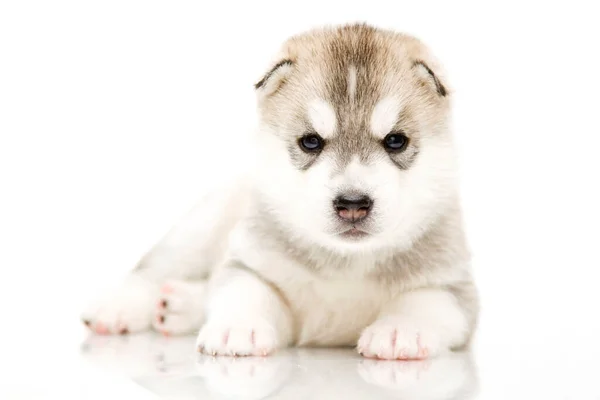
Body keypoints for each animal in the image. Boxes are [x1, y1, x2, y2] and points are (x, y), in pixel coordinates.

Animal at [83, 23, 478, 360]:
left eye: (396, 141)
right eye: (310, 142)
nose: (352, 204)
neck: (345, 262)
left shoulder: (455, 286)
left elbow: (426, 301)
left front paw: (400, 329)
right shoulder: (249, 261)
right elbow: (244, 289)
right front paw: (237, 327)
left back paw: (177, 306)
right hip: (200, 228)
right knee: (154, 271)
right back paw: (118, 308)